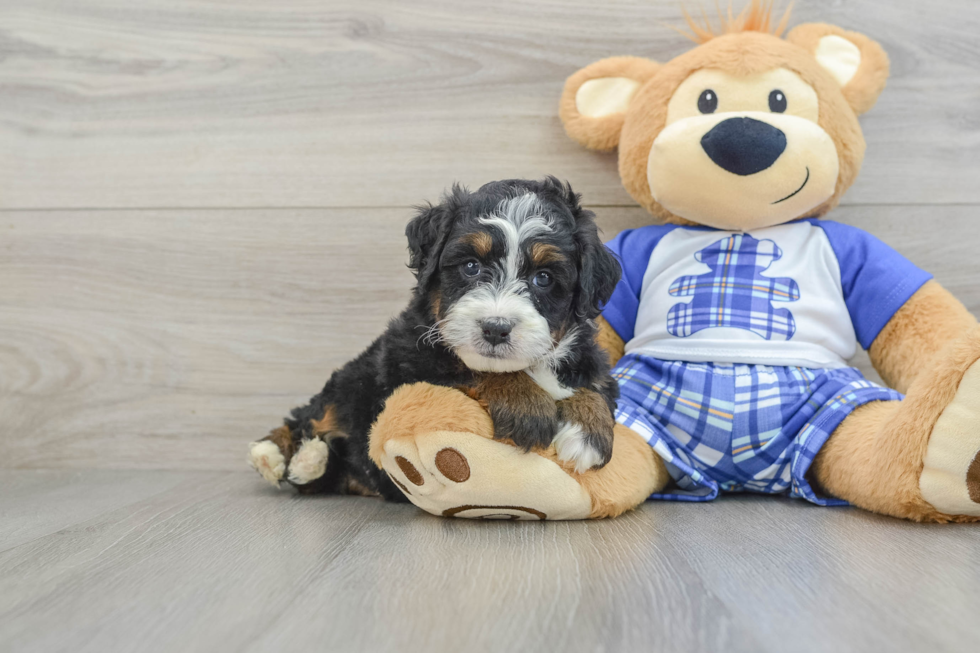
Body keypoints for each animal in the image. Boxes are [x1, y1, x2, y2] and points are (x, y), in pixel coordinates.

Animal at [249, 177, 624, 500]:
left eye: (543, 278)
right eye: (471, 266)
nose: (495, 328)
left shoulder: (590, 362)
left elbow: (594, 388)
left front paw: (588, 429)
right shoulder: (409, 361)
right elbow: (471, 368)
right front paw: (526, 404)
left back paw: (312, 461)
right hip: (350, 381)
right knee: (307, 416)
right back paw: (275, 455)